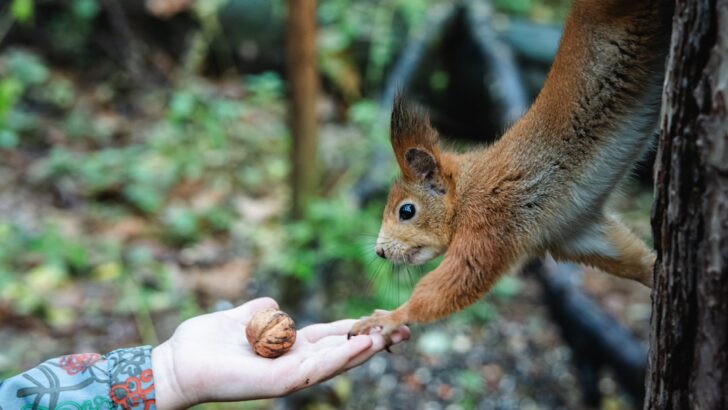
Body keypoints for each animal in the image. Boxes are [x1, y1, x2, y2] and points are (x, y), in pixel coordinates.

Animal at [350, 0, 672, 340]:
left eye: (407, 211)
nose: (379, 252)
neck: (466, 192)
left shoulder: (493, 218)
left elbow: (457, 282)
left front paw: (390, 317)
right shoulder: (573, 231)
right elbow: (629, 257)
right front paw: (654, 270)